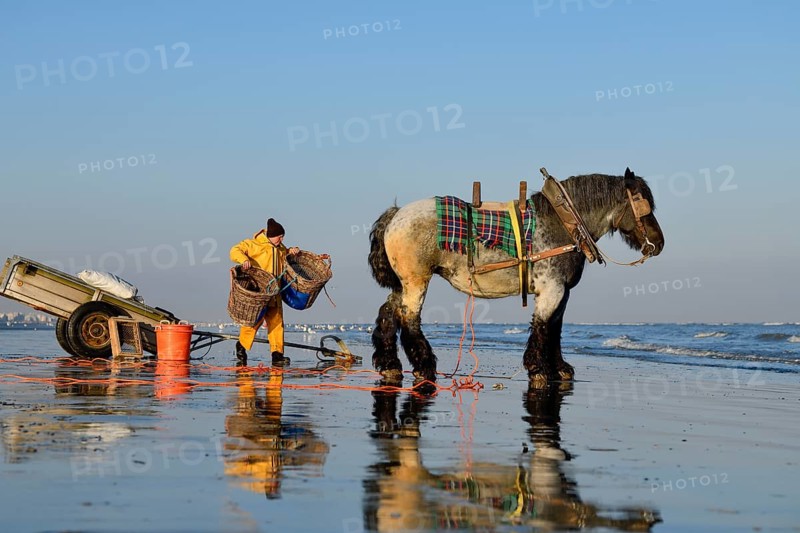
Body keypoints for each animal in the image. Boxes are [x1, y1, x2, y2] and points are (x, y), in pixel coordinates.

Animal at [368, 168, 664, 385]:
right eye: (643, 204)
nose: (659, 243)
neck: (564, 221)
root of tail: (396, 214)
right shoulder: (552, 289)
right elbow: (542, 328)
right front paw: (538, 369)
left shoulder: (562, 291)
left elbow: (555, 328)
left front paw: (559, 367)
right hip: (417, 280)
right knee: (409, 318)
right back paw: (424, 366)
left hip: (403, 282)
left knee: (388, 313)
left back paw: (390, 365)